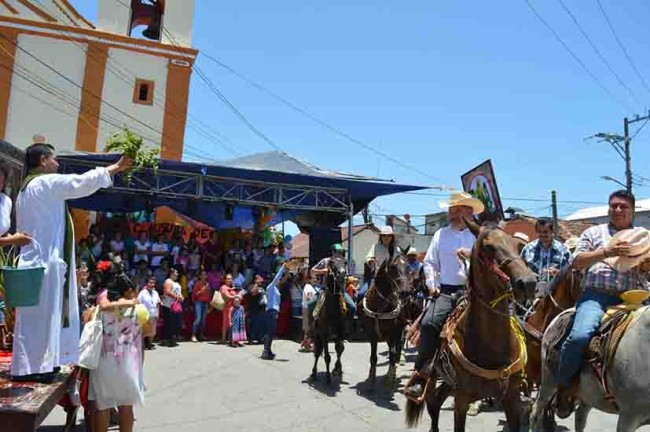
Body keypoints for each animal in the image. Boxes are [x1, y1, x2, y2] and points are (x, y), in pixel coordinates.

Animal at [402, 223, 536, 432]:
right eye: (488, 247)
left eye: (518, 246)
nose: (528, 283)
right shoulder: (462, 399)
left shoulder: (511, 398)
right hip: (433, 377)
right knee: (432, 402)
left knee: (436, 402)